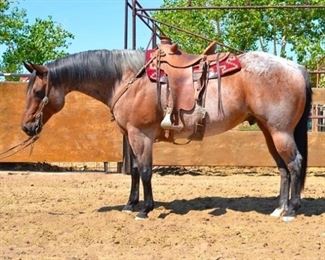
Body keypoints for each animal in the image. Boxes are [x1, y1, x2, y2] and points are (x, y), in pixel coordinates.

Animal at [21, 44, 310, 221]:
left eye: (38, 91)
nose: (26, 127)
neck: (127, 78)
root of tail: (296, 68)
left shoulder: (141, 135)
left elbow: (146, 170)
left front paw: (145, 210)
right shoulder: (131, 136)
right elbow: (134, 170)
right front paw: (130, 205)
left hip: (280, 132)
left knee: (294, 164)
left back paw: (291, 211)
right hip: (268, 131)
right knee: (283, 168)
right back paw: (278, 209)